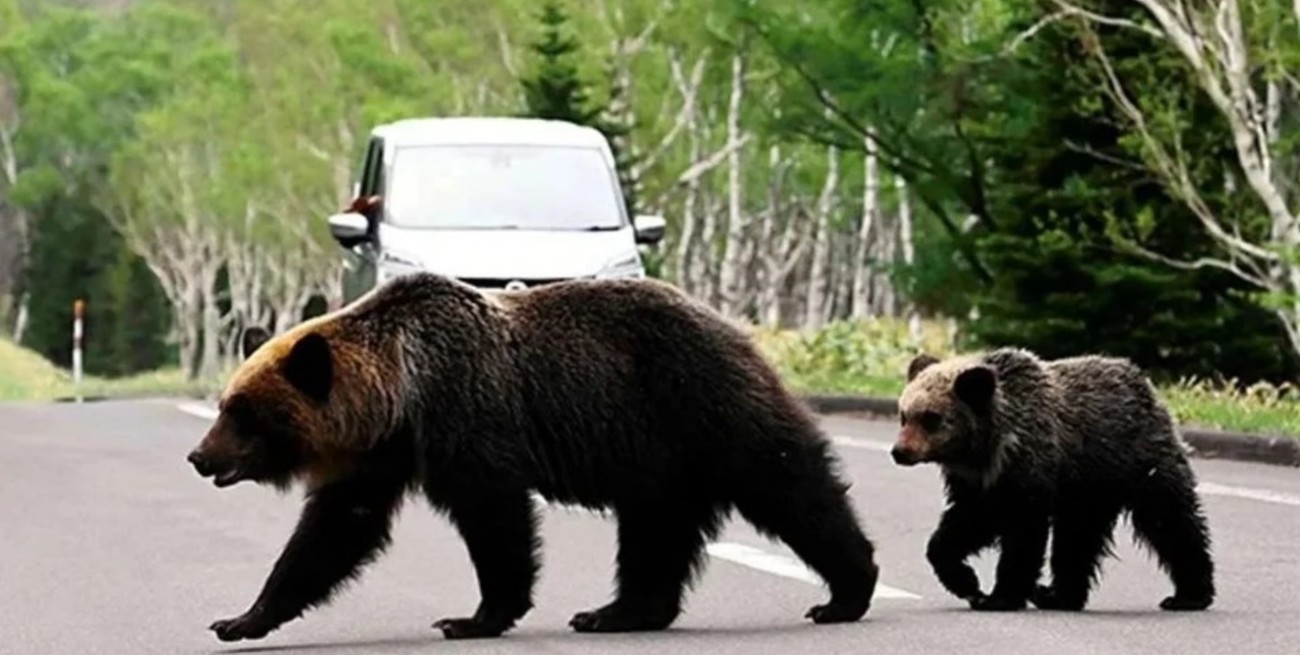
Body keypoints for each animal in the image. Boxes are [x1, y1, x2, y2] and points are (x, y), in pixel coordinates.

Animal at [185, 271, 881, 642]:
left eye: (241, 413)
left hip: (698, 402)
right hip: (658, 458)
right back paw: (615, 611)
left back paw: (845, 592)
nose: (198, 455)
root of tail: (736, 327)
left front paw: (474, 616)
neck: (401, 395)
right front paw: (241, 618)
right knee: (655, 531)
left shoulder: (466, 419)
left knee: (789, 483)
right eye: (225, 403)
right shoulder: (379, 456)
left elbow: (494, 518)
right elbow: (333, 532)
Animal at [890, 347, 1215, 613]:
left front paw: (999, 596)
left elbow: (1023, 533)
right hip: (1088, 491)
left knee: (1170, 520)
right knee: (1077, 538)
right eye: (904, 415)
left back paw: (1189, 595)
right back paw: (1059, 595)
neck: (986, 448)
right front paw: (967, 583)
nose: (899, 451)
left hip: (1139, 462)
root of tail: (1145, 382)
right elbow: (963, 525)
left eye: (931, 418)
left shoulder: (1029, 470)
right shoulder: (977, 483)